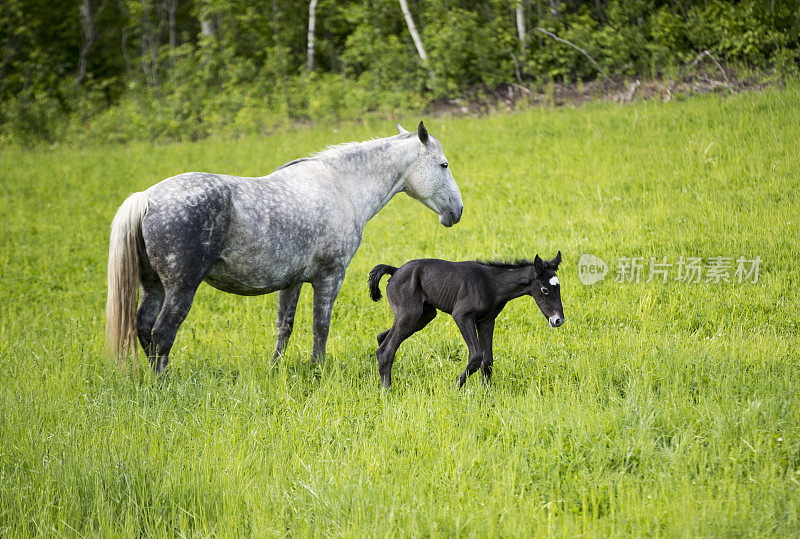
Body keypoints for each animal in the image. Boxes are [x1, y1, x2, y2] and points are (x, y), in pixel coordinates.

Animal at [109, 123, 466, 372]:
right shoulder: (330, 277)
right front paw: (318, 369)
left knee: (144, 327)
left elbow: (285, 326)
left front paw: (276, 368)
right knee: (162, 334)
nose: (457, 211)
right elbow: (321, 326)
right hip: (181, 288)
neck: (342, 186)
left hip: (153, 286)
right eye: (444, 165)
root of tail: (147, 198)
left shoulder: (291, 282)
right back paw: (164, 383)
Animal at [368, 253, 564, 388]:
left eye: (559, 287)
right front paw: (453, 389)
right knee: (386, 350)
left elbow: (488, 360)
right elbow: (476, 356)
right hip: (410, 314)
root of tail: (395, 271)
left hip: (423, 316)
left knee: (382, 337)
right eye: (545, 289)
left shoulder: (486, 321)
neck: (491, 284)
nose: (558, 320)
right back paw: (386, 390)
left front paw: (487, 395)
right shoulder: (462, 316)